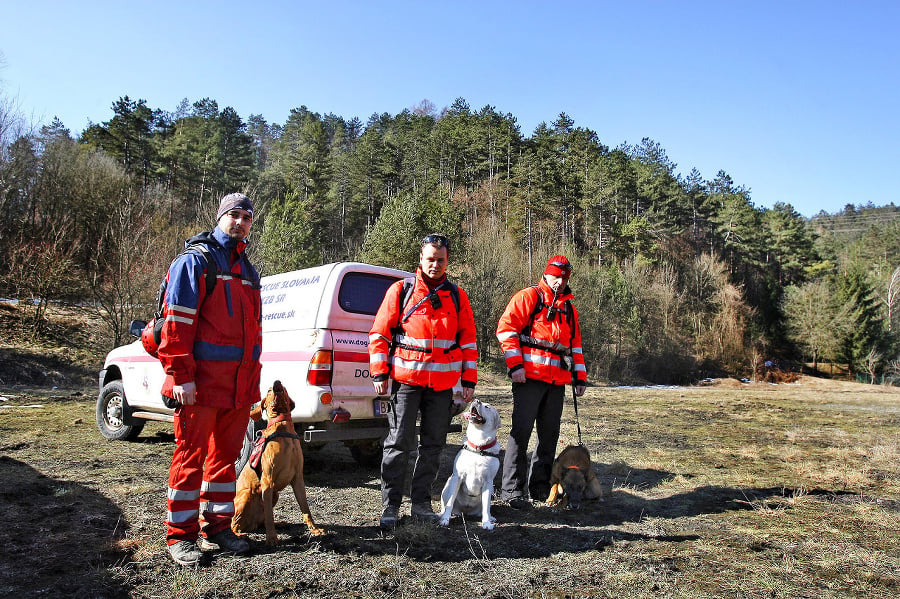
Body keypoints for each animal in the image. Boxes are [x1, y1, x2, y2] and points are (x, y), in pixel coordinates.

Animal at [232, 382, 324, 548]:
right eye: (268, 390)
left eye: (285, 388)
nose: (277, 383)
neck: (283, 426)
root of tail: (250, 524)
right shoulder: (267, 481)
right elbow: (269, 516)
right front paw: (271, 538)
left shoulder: (298, 479)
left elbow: (306, 509)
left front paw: (314, 529)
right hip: (247, 494)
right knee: (234, 524)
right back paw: (239, 535)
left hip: (275, 494)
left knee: (260, 521)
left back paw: (279, 523)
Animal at [440, 398, 502, 528]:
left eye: (487, 407)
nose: (476, 400)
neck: (478, 446)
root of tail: (466, 511)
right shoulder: (457, 477)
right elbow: (450, 502)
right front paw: (445, 519)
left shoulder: (488, 482)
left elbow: (486, 506)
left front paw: (486, 523)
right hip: (448, 483)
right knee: (446, 504)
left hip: (491, 489)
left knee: (486, 507)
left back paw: (490, 517)